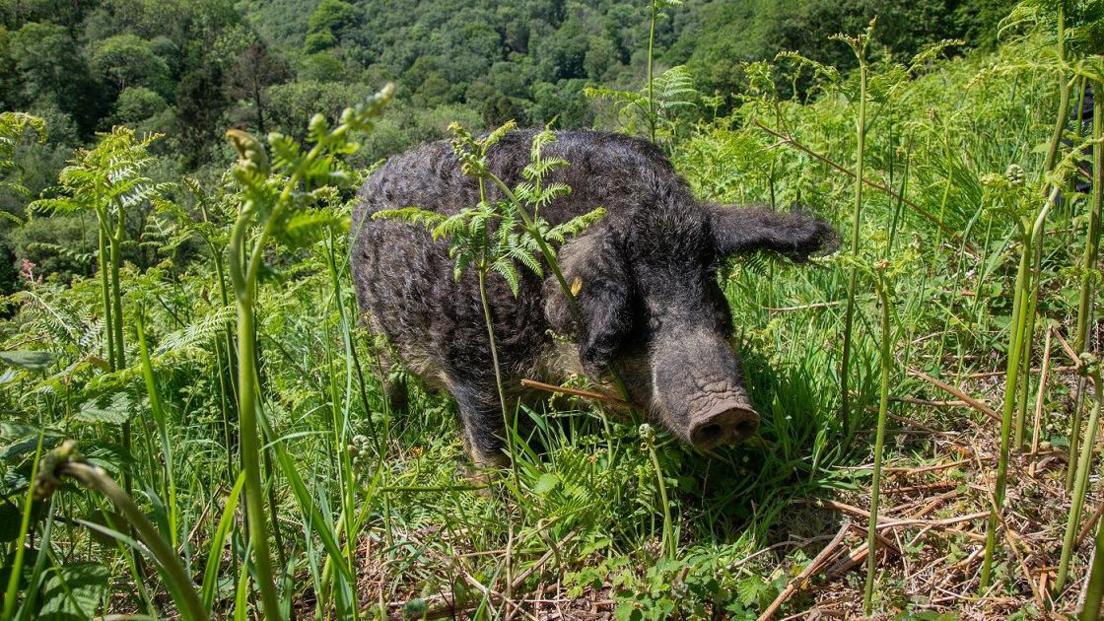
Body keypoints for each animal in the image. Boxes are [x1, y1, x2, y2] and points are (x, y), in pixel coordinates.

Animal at [351, 128, 834, 461]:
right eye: (642, 305)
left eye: (709, 283)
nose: (728, 409)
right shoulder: (470, 362)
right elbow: (488, 444)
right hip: (371, 329)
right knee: (388, 379)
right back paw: (397, 424)